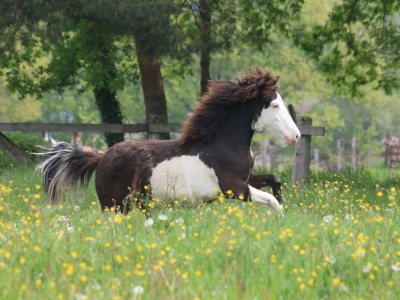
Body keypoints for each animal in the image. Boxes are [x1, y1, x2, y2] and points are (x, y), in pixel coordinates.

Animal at [37, 68, 300, 213]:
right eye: (274, 105)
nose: (296, 136)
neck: (225, 145)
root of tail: (101, 158)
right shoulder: (234, 188)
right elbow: (270, 201)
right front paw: (281, 216)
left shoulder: (247, 178)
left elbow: (274, 181)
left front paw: (283, 207)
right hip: (115, 205)